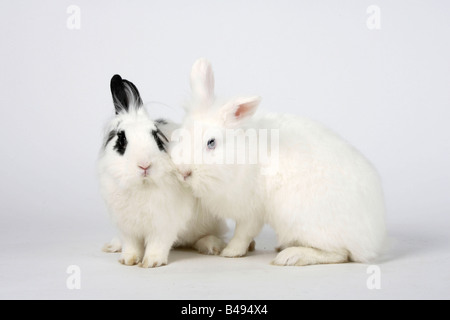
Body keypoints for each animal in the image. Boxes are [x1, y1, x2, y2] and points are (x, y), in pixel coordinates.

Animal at [98, 75, 225, 268]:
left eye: (156, 137)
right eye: (121, 140)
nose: (144, 165)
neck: (142, 186)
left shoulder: (163, 223)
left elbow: (158, 243)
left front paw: (151, 262)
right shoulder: (127, 227)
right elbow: (131, 244)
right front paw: (128, 260)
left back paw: (211, 245)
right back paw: (112, 246)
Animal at [172, 58, 386, 266]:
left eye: (211, 142)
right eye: (180, 136)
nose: (183, 172)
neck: (240, 152)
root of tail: (372, 239)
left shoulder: (251, 211)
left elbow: (243, 233)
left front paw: (230, 252)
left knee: (340, 253)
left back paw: (291, 256)